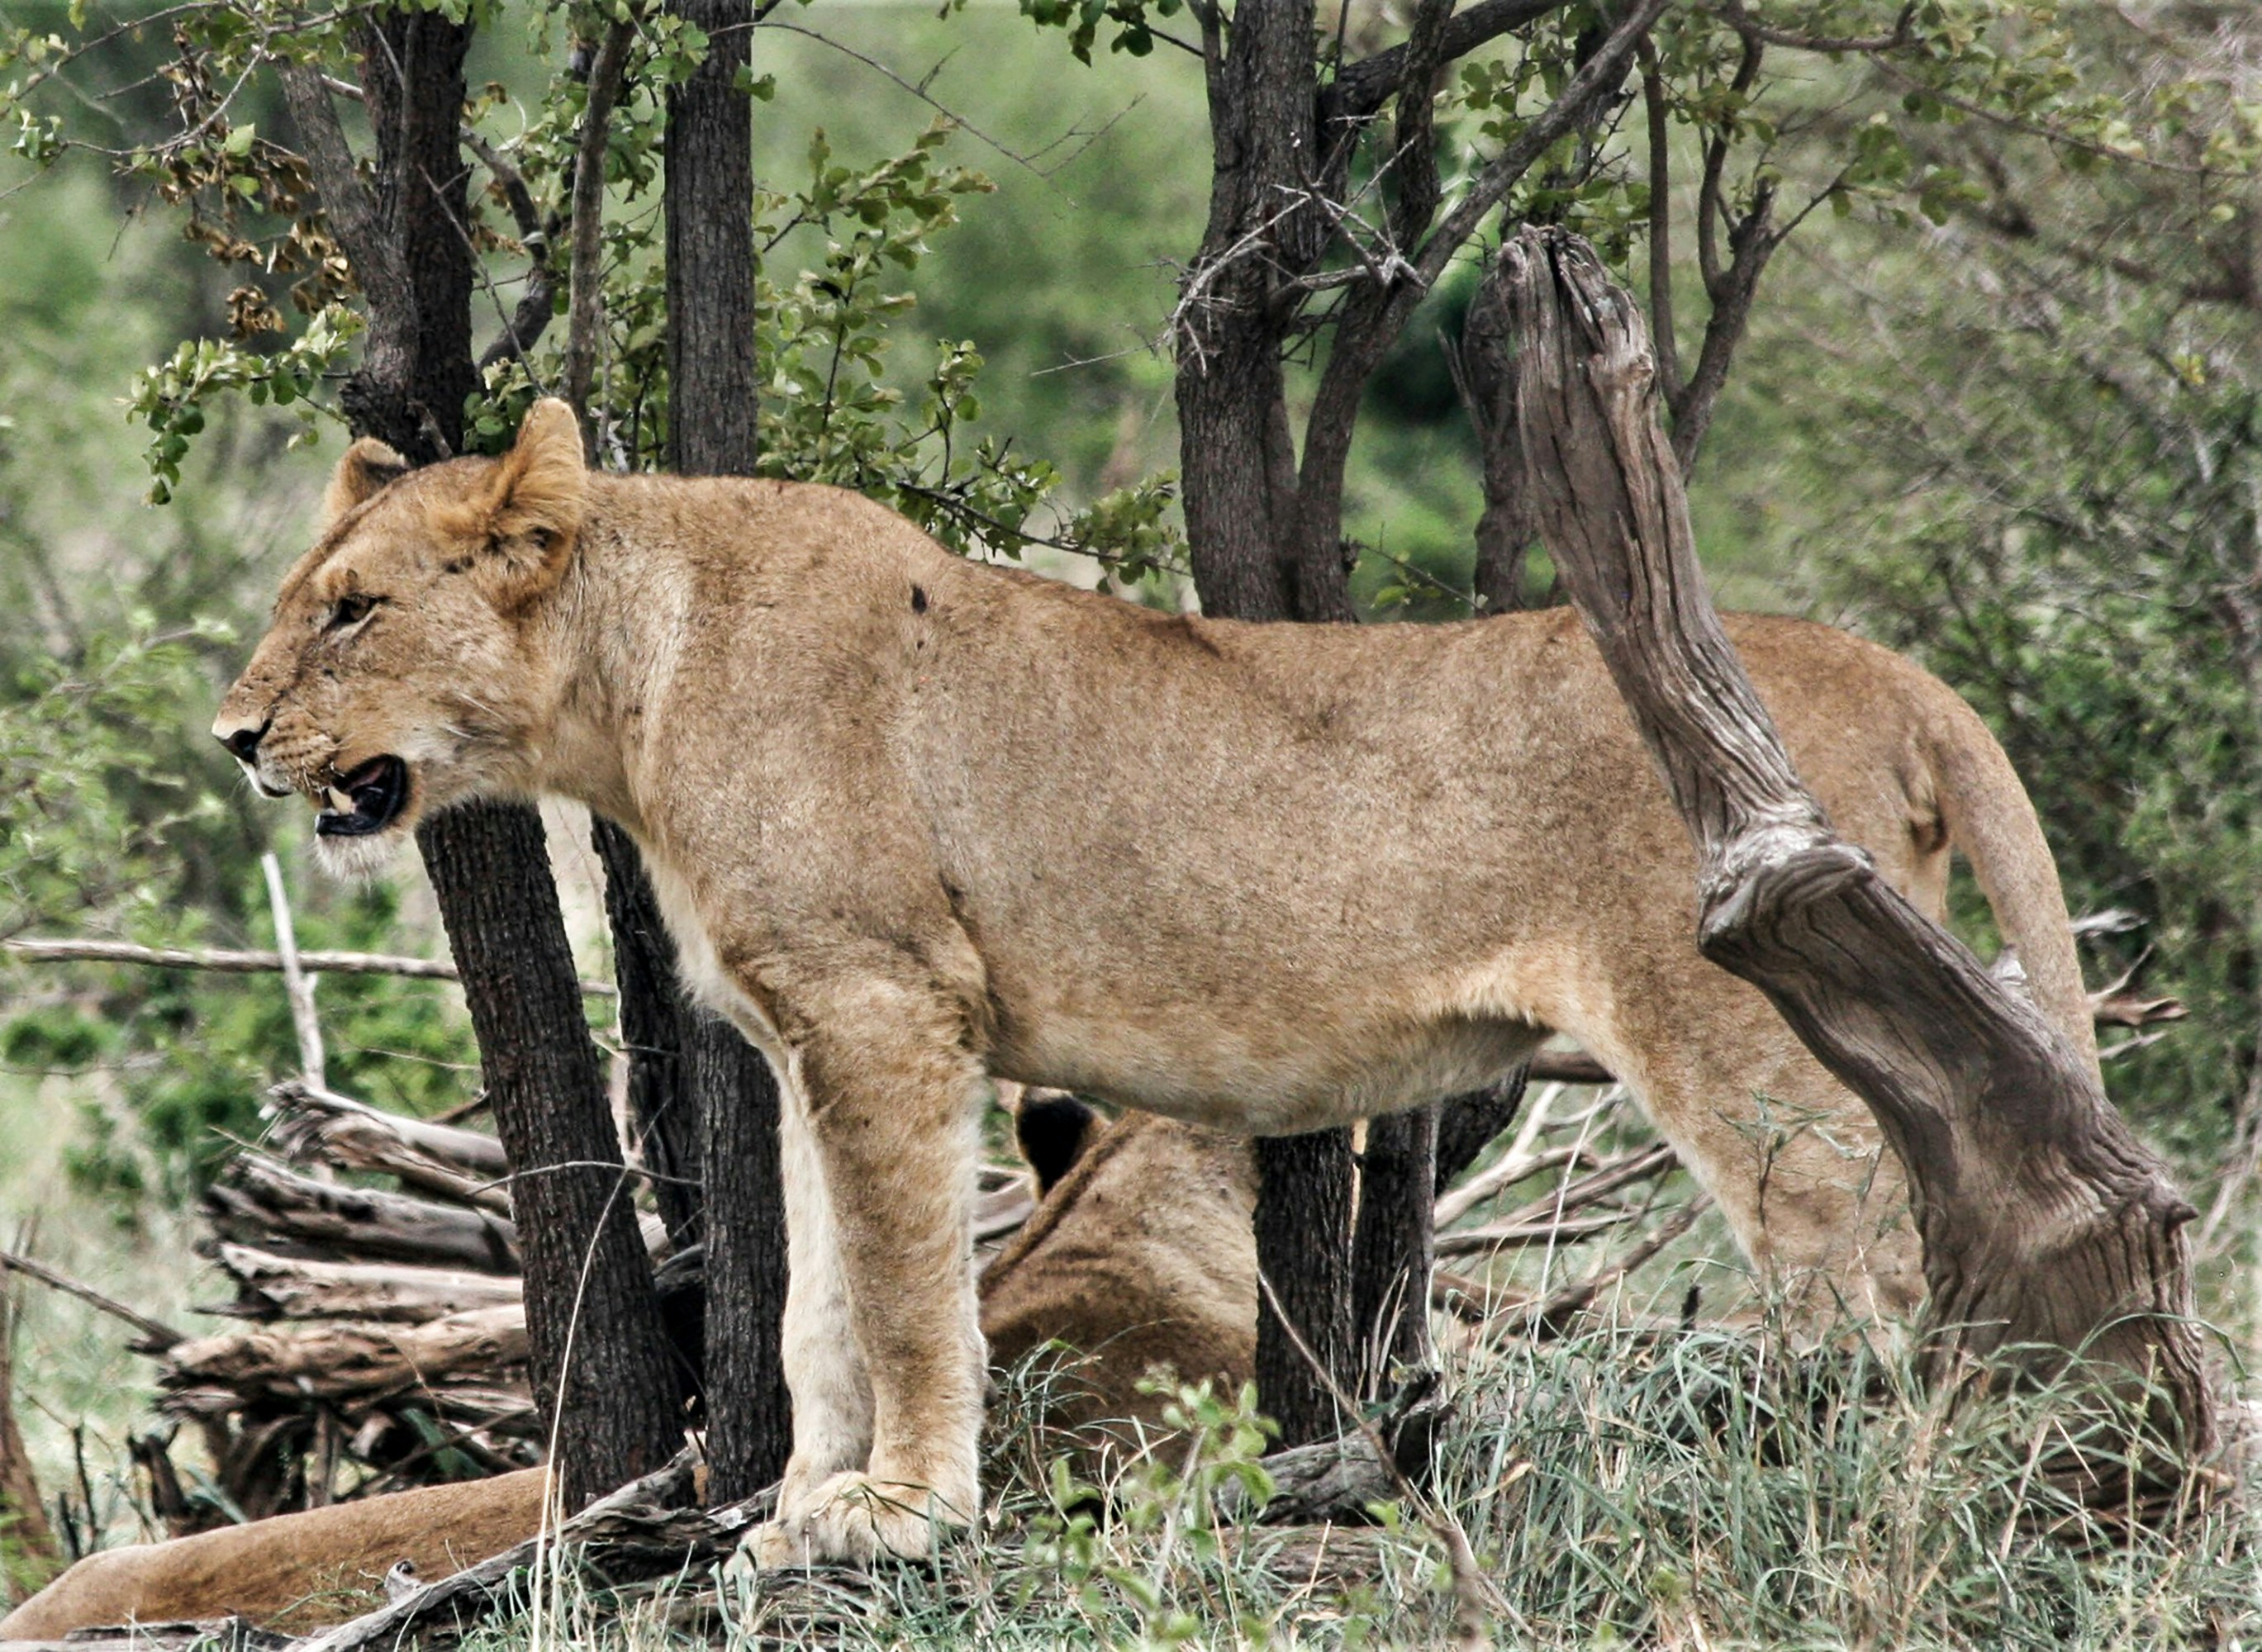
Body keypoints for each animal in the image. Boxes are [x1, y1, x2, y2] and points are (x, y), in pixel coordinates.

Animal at [210, 399, 2098, 1566]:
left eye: (355, 611)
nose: (232, 737)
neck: (627, 690)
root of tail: (1880, 664)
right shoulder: (809, 1027)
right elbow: (818, 1299)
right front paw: (800, 1510)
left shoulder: (889, 1008)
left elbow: (907, 1290)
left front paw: (907, 1513)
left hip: (1750, 1039)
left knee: (1886, 1278)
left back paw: (1877, 1494)